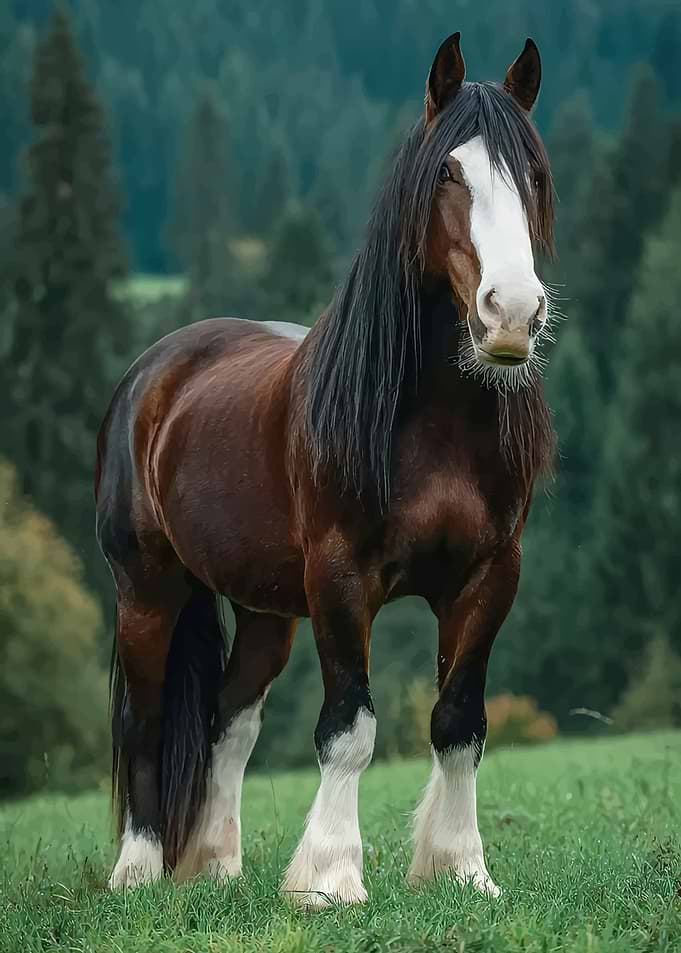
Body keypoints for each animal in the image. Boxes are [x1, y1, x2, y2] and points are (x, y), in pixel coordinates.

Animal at [95, 32, 556, 906]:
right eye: (447, 173)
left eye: (535, 174)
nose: (511, 313)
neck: (432, 422)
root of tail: (151, 370)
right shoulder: (341, 578)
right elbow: (349, 727)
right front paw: (330, 876)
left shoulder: (491, 576)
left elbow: (459, 722)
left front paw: (460, 867)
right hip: (147, 588)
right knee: (146, 716)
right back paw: (137, 869)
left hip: (265, 608)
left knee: (229, 720)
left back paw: (215, 863)